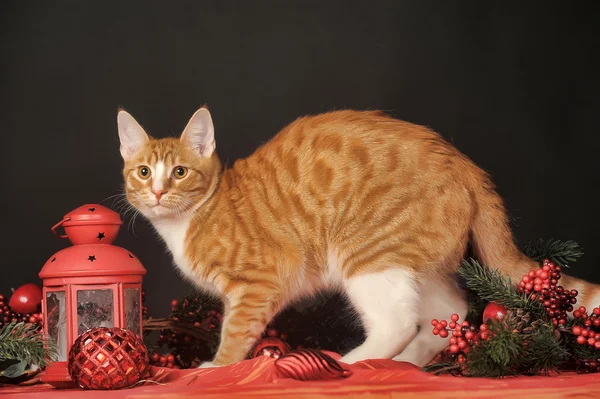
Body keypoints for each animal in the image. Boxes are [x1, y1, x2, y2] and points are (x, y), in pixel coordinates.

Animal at [117, 106, 600, 368]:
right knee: (452, 311)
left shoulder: (258, 282)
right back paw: (405, 364)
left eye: (180, 172)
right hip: (416, 266)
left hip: (369, 257)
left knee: (399, 322)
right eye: (143, 172)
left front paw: (215, 367)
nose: (157, 191)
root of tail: (463, 162)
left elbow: (235, 331)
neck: (191, 218)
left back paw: (355, 361)